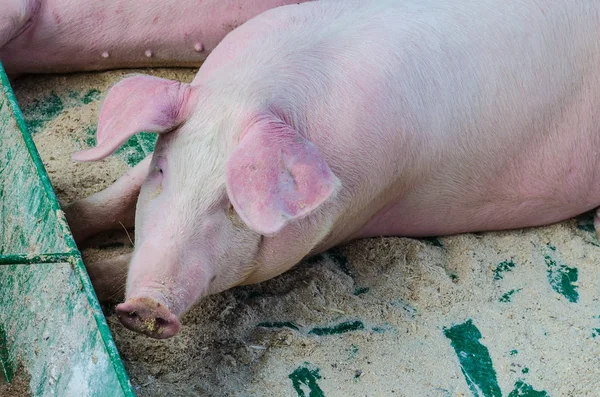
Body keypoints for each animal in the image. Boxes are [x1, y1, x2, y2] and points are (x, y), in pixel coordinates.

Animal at [63, 0, 600, 338]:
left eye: (233, 204)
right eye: (163, 169)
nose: (146, 306)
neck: (248, 94)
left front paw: (90, 265)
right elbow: (120, 193)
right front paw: (66, 218)